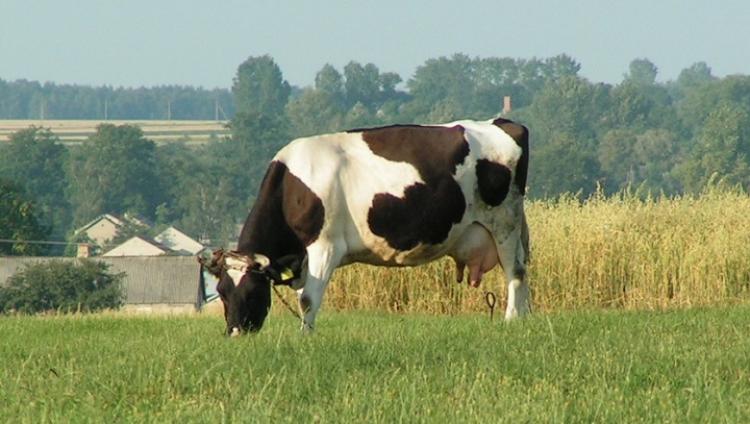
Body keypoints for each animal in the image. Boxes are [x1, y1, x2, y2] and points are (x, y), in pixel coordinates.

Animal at [199, 118, 530, 336]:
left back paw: (512, 320)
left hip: (505, 223)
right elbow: (304, 295)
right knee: (522, 269)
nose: (235, 333)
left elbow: (307, 300)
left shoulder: (325, 247)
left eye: (253, 292)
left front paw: (305, 338)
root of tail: (501, 122)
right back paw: (527, 317)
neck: (292, 186)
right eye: (223, 292)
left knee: (515, 272)